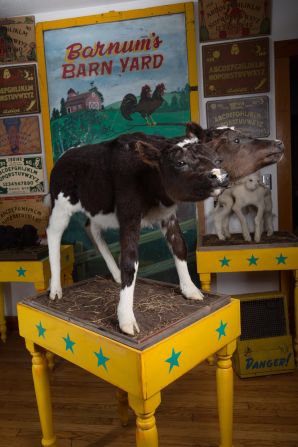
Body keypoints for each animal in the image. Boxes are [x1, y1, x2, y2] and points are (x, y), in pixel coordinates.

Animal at [46, 133, 229, 336]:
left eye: (218, 160)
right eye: (180, 162)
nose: (220, 175)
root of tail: (66, 154)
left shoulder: (167, 215)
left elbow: (179, 246)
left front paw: (190, 289)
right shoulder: (129, 214)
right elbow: (129, 261)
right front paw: (126, 319)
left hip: (97, 208)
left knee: (91, 228)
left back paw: (115, 275)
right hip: (60, 204)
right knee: (53, 232)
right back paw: (55, 288)